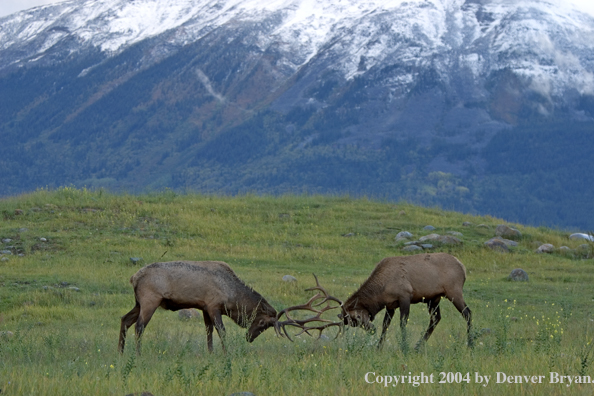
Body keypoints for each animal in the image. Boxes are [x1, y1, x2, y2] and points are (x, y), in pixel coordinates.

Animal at [120, 262, 280, 354]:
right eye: (262, 322)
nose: (249, 337)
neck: (232, 296)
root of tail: (134, 278)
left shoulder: (204, 308)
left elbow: (209, 331)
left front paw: (211, 353)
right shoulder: (214, 306)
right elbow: (221, 331)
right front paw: (225, 353)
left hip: (138, 303)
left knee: (125, 320)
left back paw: (120, 352)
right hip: (150, 301)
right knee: (139, 326)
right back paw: (138, 354)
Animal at [340, 254, 470, 350]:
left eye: (357, 317)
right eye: (352, 323)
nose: (371, 329)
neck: (382, 290)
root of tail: (463, 267)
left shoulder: (405, 296)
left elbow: (402, 323)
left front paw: (404, 347)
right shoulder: (390, 305)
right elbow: (385, 325)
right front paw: (378, 347)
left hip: (454, 292)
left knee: (467, 313)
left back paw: (471, 344)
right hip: (434, 298)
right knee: (436, 318)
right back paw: (418, 346)